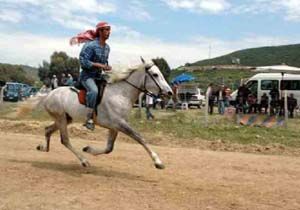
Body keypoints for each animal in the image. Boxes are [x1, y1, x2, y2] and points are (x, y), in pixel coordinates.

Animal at [36, 59, 172, 169]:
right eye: (155, 74)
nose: (170, 92)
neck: (121, 94)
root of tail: (48, 95)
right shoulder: (120, 123)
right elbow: (139, 137)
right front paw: (158, 162)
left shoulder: (115, 127)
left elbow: (109, 148)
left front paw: (88, 149)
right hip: (61, 119)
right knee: (65, 140)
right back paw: (84, 161)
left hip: (66, 118)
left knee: (48, 130)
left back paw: (43, 148)